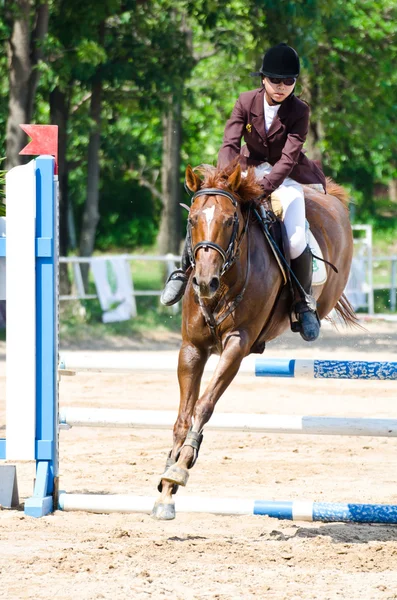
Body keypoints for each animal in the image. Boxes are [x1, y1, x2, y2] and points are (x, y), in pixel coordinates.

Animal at [152, 163, 356, 520]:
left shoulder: (236, 345)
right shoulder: (192, 348)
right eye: (192, 220)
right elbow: (183, 415)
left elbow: (203, 405)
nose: (204, 283)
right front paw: (166, 486)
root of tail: (331, 196)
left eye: (230, 221)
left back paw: (307, 316)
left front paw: (181, 466)